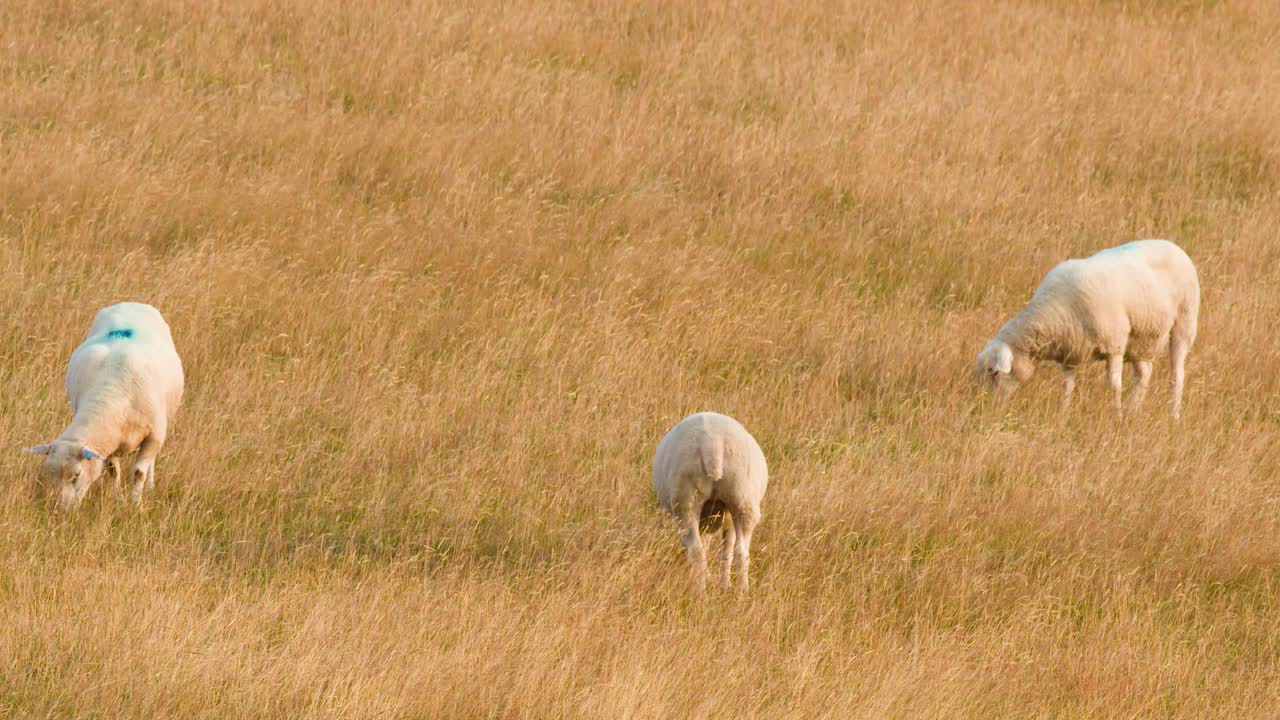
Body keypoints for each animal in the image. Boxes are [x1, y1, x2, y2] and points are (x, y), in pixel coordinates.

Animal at [25, 302, 185, 510]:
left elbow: (139, 472)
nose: (61, 509)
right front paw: (118, 499)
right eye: (50, 475)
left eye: (76, 475)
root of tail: (130, 303)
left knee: (151, 465)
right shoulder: (110, 441)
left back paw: (150, 487)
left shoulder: (154, 436)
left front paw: (136, 505)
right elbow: (112, 472)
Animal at [652, 412, 768, 592]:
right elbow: (726, 549)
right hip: (743, 500)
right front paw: (723, 584)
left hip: (685, 501)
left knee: (696, 550)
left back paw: (700, 592)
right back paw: (741, 591)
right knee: (740, 551)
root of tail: (712, 444)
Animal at [976, 239, 1199, 418]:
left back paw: (1173, 415)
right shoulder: (1070, 353)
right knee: (1144, 373)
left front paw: (1116, 418)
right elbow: (1066, 388)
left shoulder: (1115, 345)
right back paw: (1132, 410)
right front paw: (1062, 417)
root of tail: (1172, 245)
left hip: (1184, 323)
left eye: (993, 373)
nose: (987, 407)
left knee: (1177, 376)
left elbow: (1114, 387)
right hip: (1139, 338)